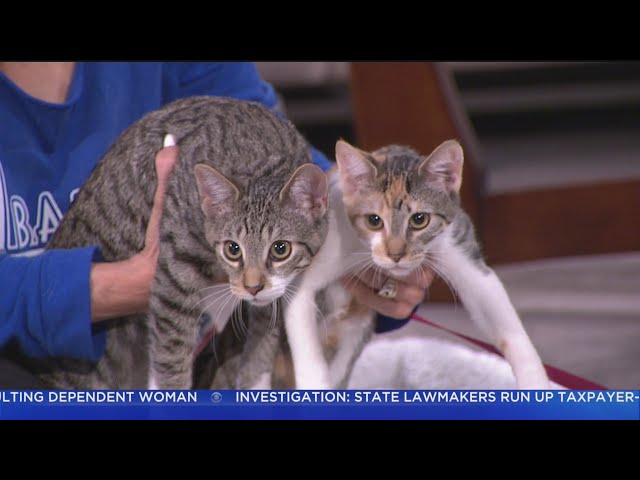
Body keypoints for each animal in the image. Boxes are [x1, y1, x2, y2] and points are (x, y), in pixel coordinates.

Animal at [208, 138, 551, 390]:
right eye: (374, 220)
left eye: (420, 219)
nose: (395, 253)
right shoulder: (308, 265)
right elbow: (303, 332)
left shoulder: (457, 243)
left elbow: (500, 315)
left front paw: (536, 384)